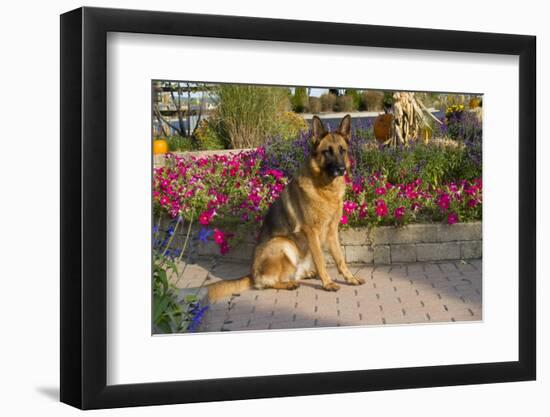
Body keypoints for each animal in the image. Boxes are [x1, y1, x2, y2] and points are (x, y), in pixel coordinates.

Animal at [208, 115, 366, 300]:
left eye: (342, 150)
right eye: (327, 151)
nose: (341, 169)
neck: (325, 189)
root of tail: (252, 274)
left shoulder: (332, 231)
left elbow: (340, 259)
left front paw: (350, 278)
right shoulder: (311, 232)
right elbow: (321, 260)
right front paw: (327, 283)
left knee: (293, 273)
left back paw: (306, 274)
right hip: (283, 243)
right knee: (268, 282)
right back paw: (289, 283)